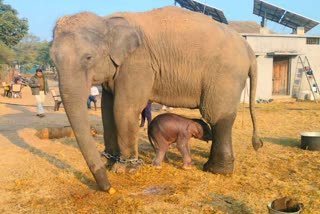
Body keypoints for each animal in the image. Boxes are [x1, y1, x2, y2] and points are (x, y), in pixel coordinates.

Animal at [48, 5, 262, 191]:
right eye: (52, 60)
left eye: (88, 58)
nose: (108, 188)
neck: (107, 20)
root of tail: (249, 50)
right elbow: (107, 111)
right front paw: (109, 162)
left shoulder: (138, 63)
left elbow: (123, 109)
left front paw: (125, 169)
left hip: (224, 76)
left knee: (218, 117)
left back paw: (216, 170)